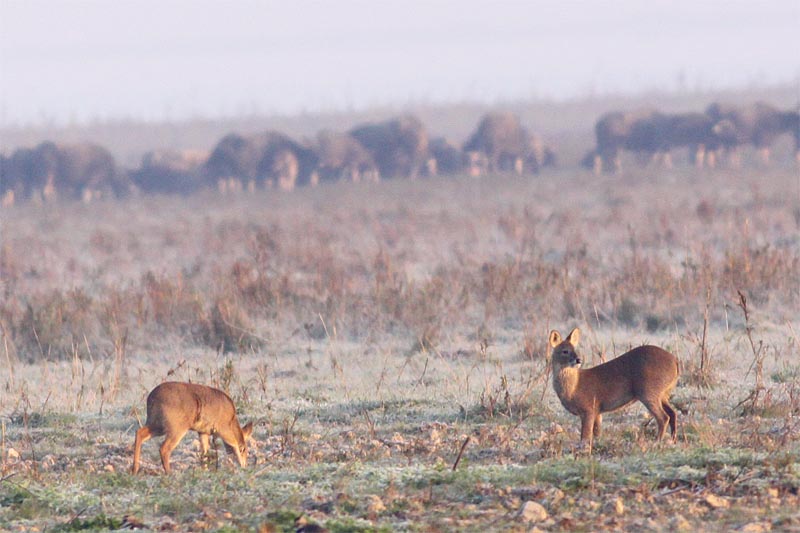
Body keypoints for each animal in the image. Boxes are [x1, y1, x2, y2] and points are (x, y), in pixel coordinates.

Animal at [552, 328, 680, 448]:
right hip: (662, 394)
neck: (574, 387)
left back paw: (657, 442)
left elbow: (585, 436)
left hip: (648, 392)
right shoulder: (597, 412)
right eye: (565, 351)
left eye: (575, 349)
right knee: (673, 413)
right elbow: (596, 434)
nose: (578, 360)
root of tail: (675, 361)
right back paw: (673, 440)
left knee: (664, 417)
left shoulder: (589, 409)